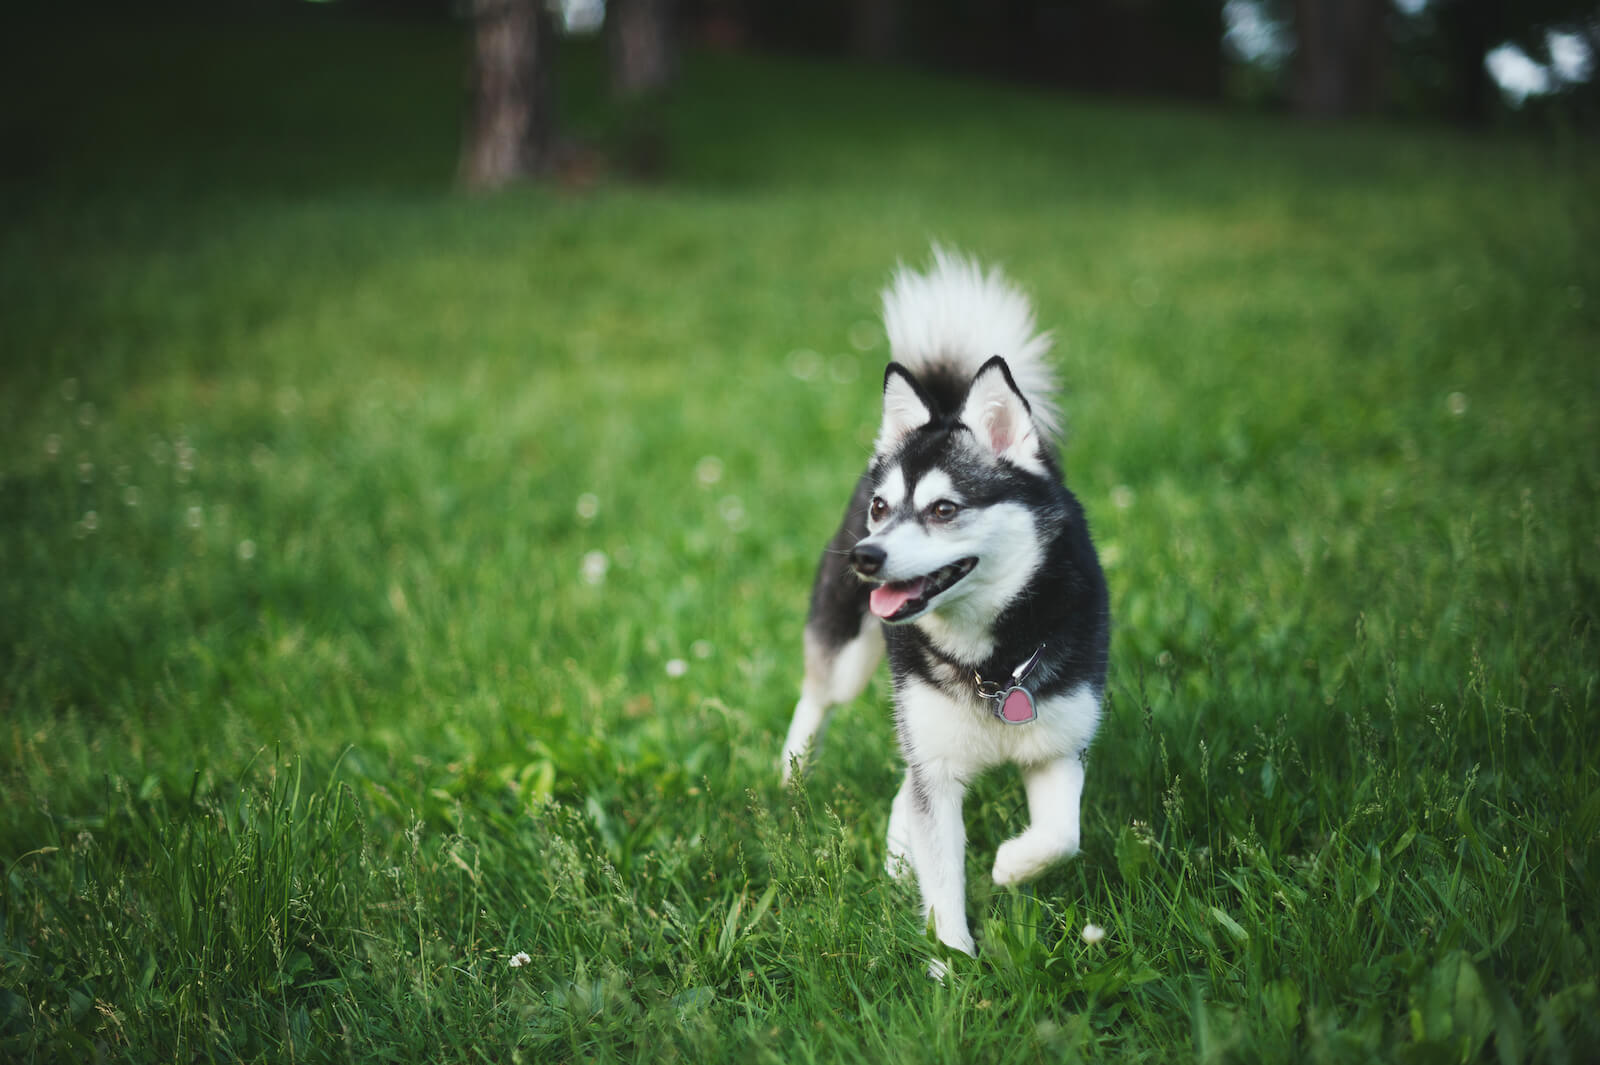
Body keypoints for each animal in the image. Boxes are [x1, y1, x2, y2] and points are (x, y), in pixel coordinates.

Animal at [777, 249, 1107, 959]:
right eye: (882, 507)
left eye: (944, 509)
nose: (865, 557)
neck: (992, 660)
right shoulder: (938, 761)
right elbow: (944, 873)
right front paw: (952, 965)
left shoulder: (1058, 744)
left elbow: (1062, 839)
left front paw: (1010, 865)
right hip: (852, 655)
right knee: (820, 697)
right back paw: (790, 776)